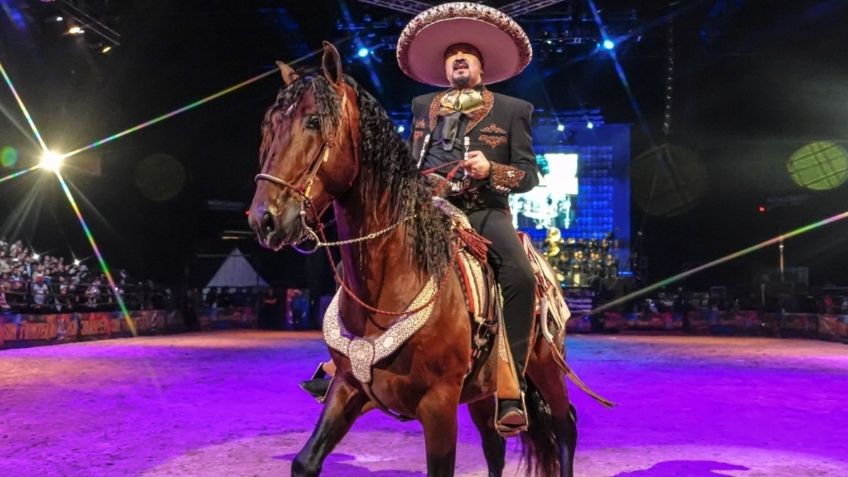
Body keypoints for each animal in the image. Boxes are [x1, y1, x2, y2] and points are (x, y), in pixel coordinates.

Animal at [248, 42, 588, 474]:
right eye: (268, 126)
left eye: (313, 121)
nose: (265, 219)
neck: (388, 284)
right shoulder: (348, 387)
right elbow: (306, 461)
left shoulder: (438, 405)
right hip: (484, 391)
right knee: (494, 443)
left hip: (546, 366)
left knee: (565, 426)